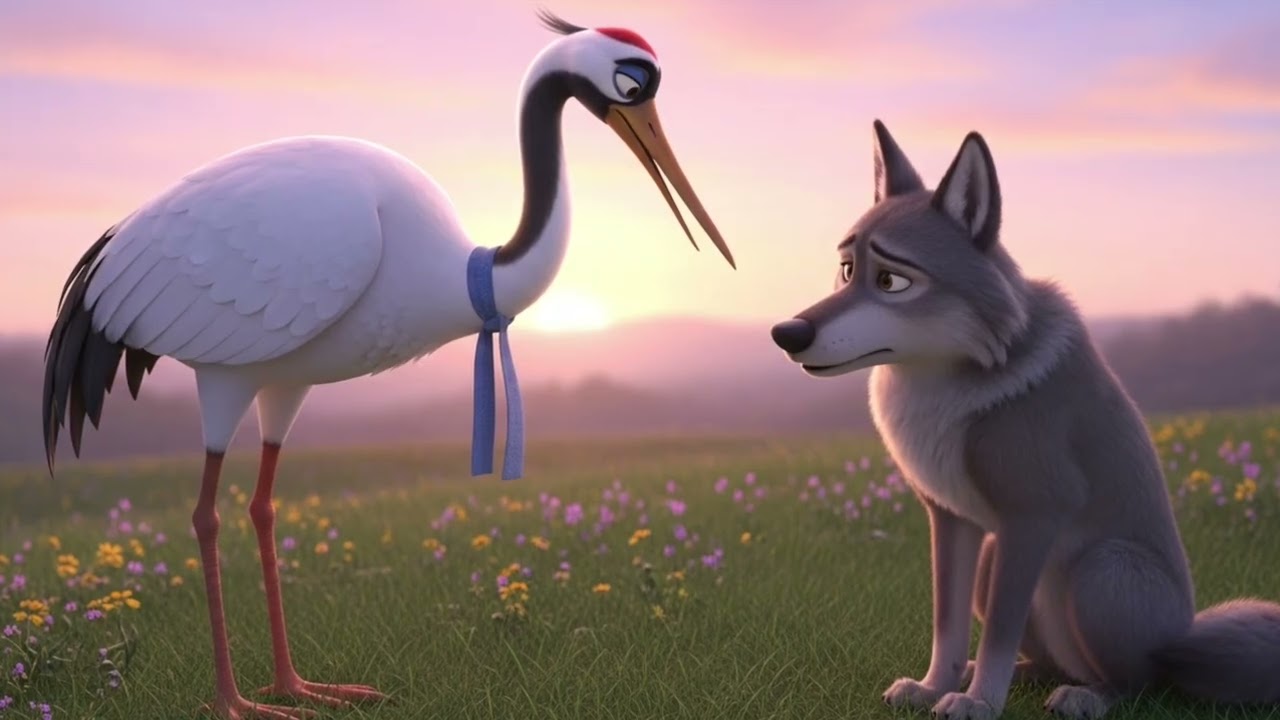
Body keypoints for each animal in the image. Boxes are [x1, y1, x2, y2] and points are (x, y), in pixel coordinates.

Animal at [769, 120, 1280, 719]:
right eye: (847, 271)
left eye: (892, 281)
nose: (786, 333)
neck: (941, 392)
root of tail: (1184, 633)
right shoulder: (952, 519)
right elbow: (948, 625)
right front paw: (935, 687)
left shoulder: (1032, 515)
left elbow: (998, 631)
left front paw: (978, 704)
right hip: (997, 561)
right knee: (1049, 660)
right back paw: (1017, 674)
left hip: (1102, 569)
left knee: (1140, 680)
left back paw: (1086, 697)